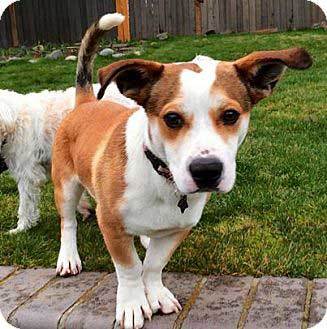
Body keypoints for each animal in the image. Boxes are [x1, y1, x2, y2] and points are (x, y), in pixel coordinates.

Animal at [52, 11, 314, 326]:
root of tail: (87, 102)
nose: (207, 170)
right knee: (68, 222)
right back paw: (68, 256)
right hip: (65, 186)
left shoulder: (181, 226)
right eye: (172, 119)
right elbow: (129, 268)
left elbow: (153, 264)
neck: (161, 178)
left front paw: (156, 293)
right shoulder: (111, 223)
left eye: (230, 115)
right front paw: (132, 304)